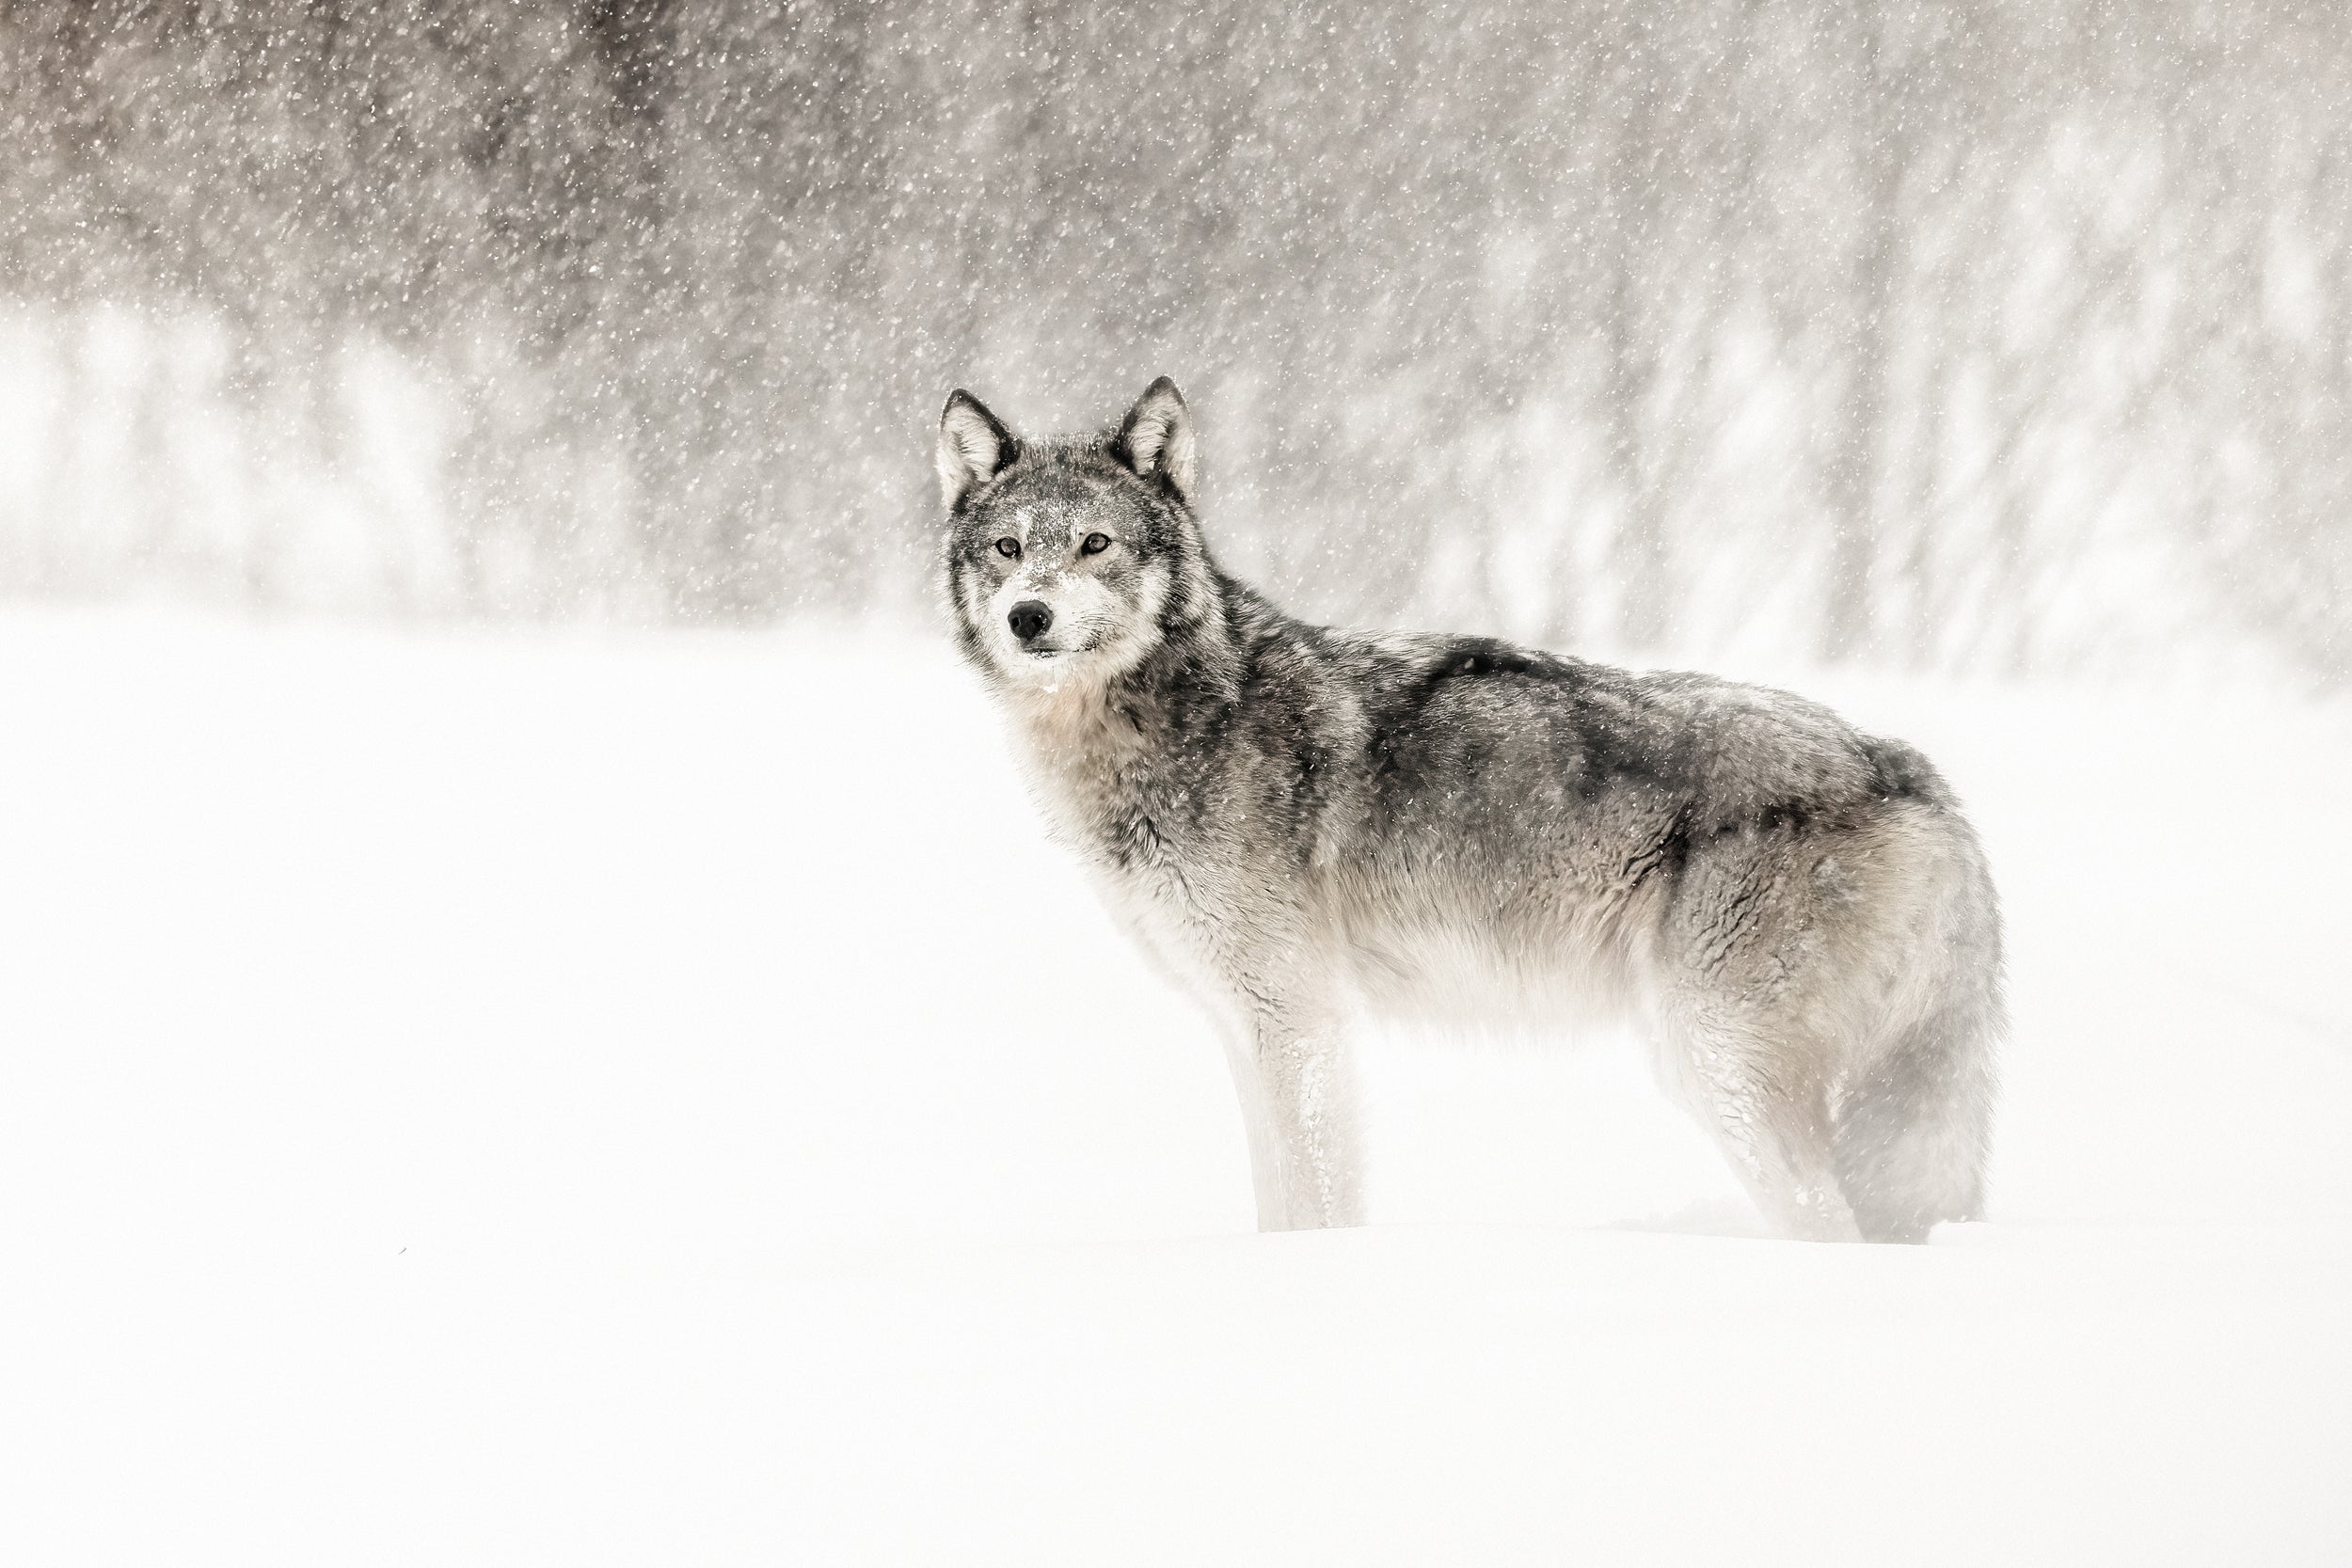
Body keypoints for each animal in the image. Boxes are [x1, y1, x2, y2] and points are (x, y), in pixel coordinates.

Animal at [937, 377, 2002, 1242]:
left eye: (1095, 544)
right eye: (1007, 548)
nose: (1028, 616)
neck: (1185, 717)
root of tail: (1914, 774)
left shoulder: (1300, 1019)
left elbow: (1315, 1203)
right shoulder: (1242, 1025)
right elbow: (1275, 1201)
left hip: (1713, 1060)